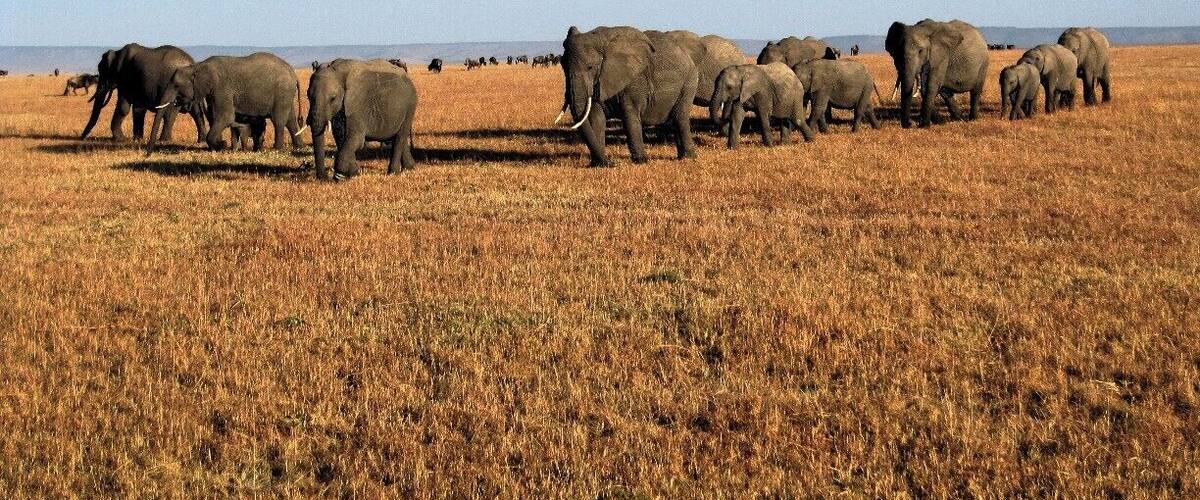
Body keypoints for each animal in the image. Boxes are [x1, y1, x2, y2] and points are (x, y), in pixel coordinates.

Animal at [148, 52, 303, 154]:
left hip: (282, 92)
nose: (148, 154)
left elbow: (226, 116)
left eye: (176, 86)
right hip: (286, 94)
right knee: (291, 120)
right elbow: (217, 116)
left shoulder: (221, 87)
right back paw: (299, 147)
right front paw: (221, 145)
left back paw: (277, 148)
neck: (198, 66)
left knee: (279, 120)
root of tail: (293, 73)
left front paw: (222, 145)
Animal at [559, 26, 698, 167]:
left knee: (680, 117)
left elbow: (629, 116)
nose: (612, 163)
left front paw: (641, 161)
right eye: (562, 65)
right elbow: (596, 117)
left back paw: (688, 158)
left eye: (590, 67)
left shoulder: (633, 81)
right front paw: (598, 165)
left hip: (689, 82)